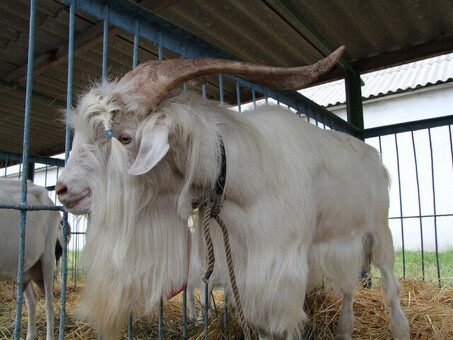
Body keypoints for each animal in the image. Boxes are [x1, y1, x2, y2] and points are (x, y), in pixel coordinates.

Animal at [55, 46, 410, 338]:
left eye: (125, 138)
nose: (62, 189)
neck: (243, 173)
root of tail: (372, 156)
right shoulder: (244, 270)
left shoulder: (282, 270)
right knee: (349, 287)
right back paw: (346, 331)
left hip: (380, 231)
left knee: (390, 287)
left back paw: (399, 329)